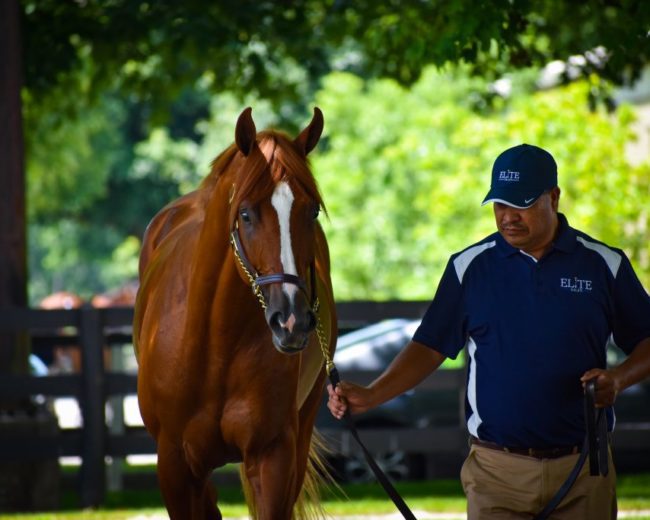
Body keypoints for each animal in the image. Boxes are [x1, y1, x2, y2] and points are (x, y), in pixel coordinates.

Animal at [132, 107, 334, 516]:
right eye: (246, 213)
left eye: (312, 212)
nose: (292, 321)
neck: (215, 345)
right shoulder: (174, 464)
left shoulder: (273, 456)